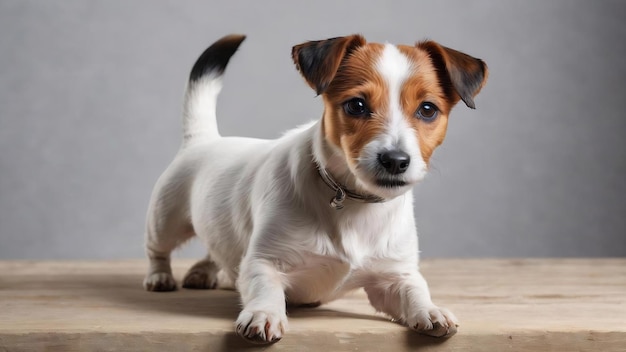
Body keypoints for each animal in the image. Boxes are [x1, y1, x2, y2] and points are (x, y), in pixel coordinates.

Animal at [143, 33, 488, 344]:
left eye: (428, 109)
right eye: (356, 105)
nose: (395, 160)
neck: (354, 203)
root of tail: (204, 139)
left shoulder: (394, 276)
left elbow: (415, 289)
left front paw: (430, 310)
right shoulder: (264, 261)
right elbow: (265, 287)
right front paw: (264, 314)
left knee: (219, 250)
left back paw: (205, 271)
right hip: (167, 218)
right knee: (159, 248)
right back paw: (160, 276)